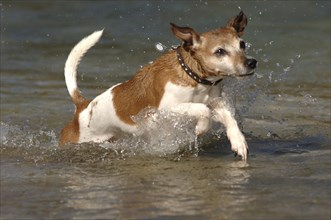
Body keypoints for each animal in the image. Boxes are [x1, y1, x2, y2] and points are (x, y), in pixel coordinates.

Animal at [59, 11, 256, 160]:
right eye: (220, 51)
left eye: (242, 44)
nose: (252, 63)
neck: (192, 76)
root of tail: (83, 107)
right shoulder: (164, 110)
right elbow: (202, 109)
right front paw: (201, 127)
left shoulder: (216, 102)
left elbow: (228, 117)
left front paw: (238, 140)